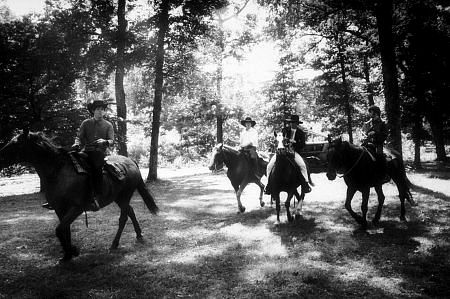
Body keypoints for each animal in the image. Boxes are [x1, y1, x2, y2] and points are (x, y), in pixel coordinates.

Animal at [0, 131, 159, 262]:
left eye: (15, 144)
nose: (0, 156)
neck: (58, 172)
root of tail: (131, 162)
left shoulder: (76, 208)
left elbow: (59, 230)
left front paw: (73, 251)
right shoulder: (60, 209)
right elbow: (65, 230)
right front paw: (67, 255)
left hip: (125, 197)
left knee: (123, 218)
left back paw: (115, 243)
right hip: (119, 198)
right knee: (130, 211)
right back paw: (139, 235)